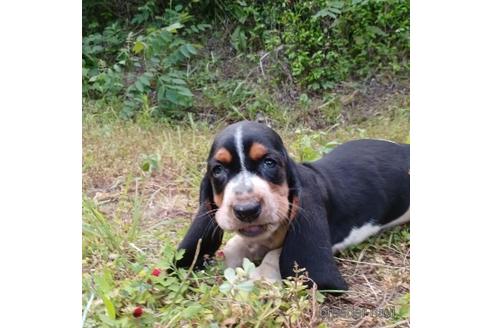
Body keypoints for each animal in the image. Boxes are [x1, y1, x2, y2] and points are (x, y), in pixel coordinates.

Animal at [175, 121, 410, 292]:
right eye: (217, 170)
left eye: (269, 163)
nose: (246, 210)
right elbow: (234, 246)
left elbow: (277, 255)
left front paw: (258, 277)